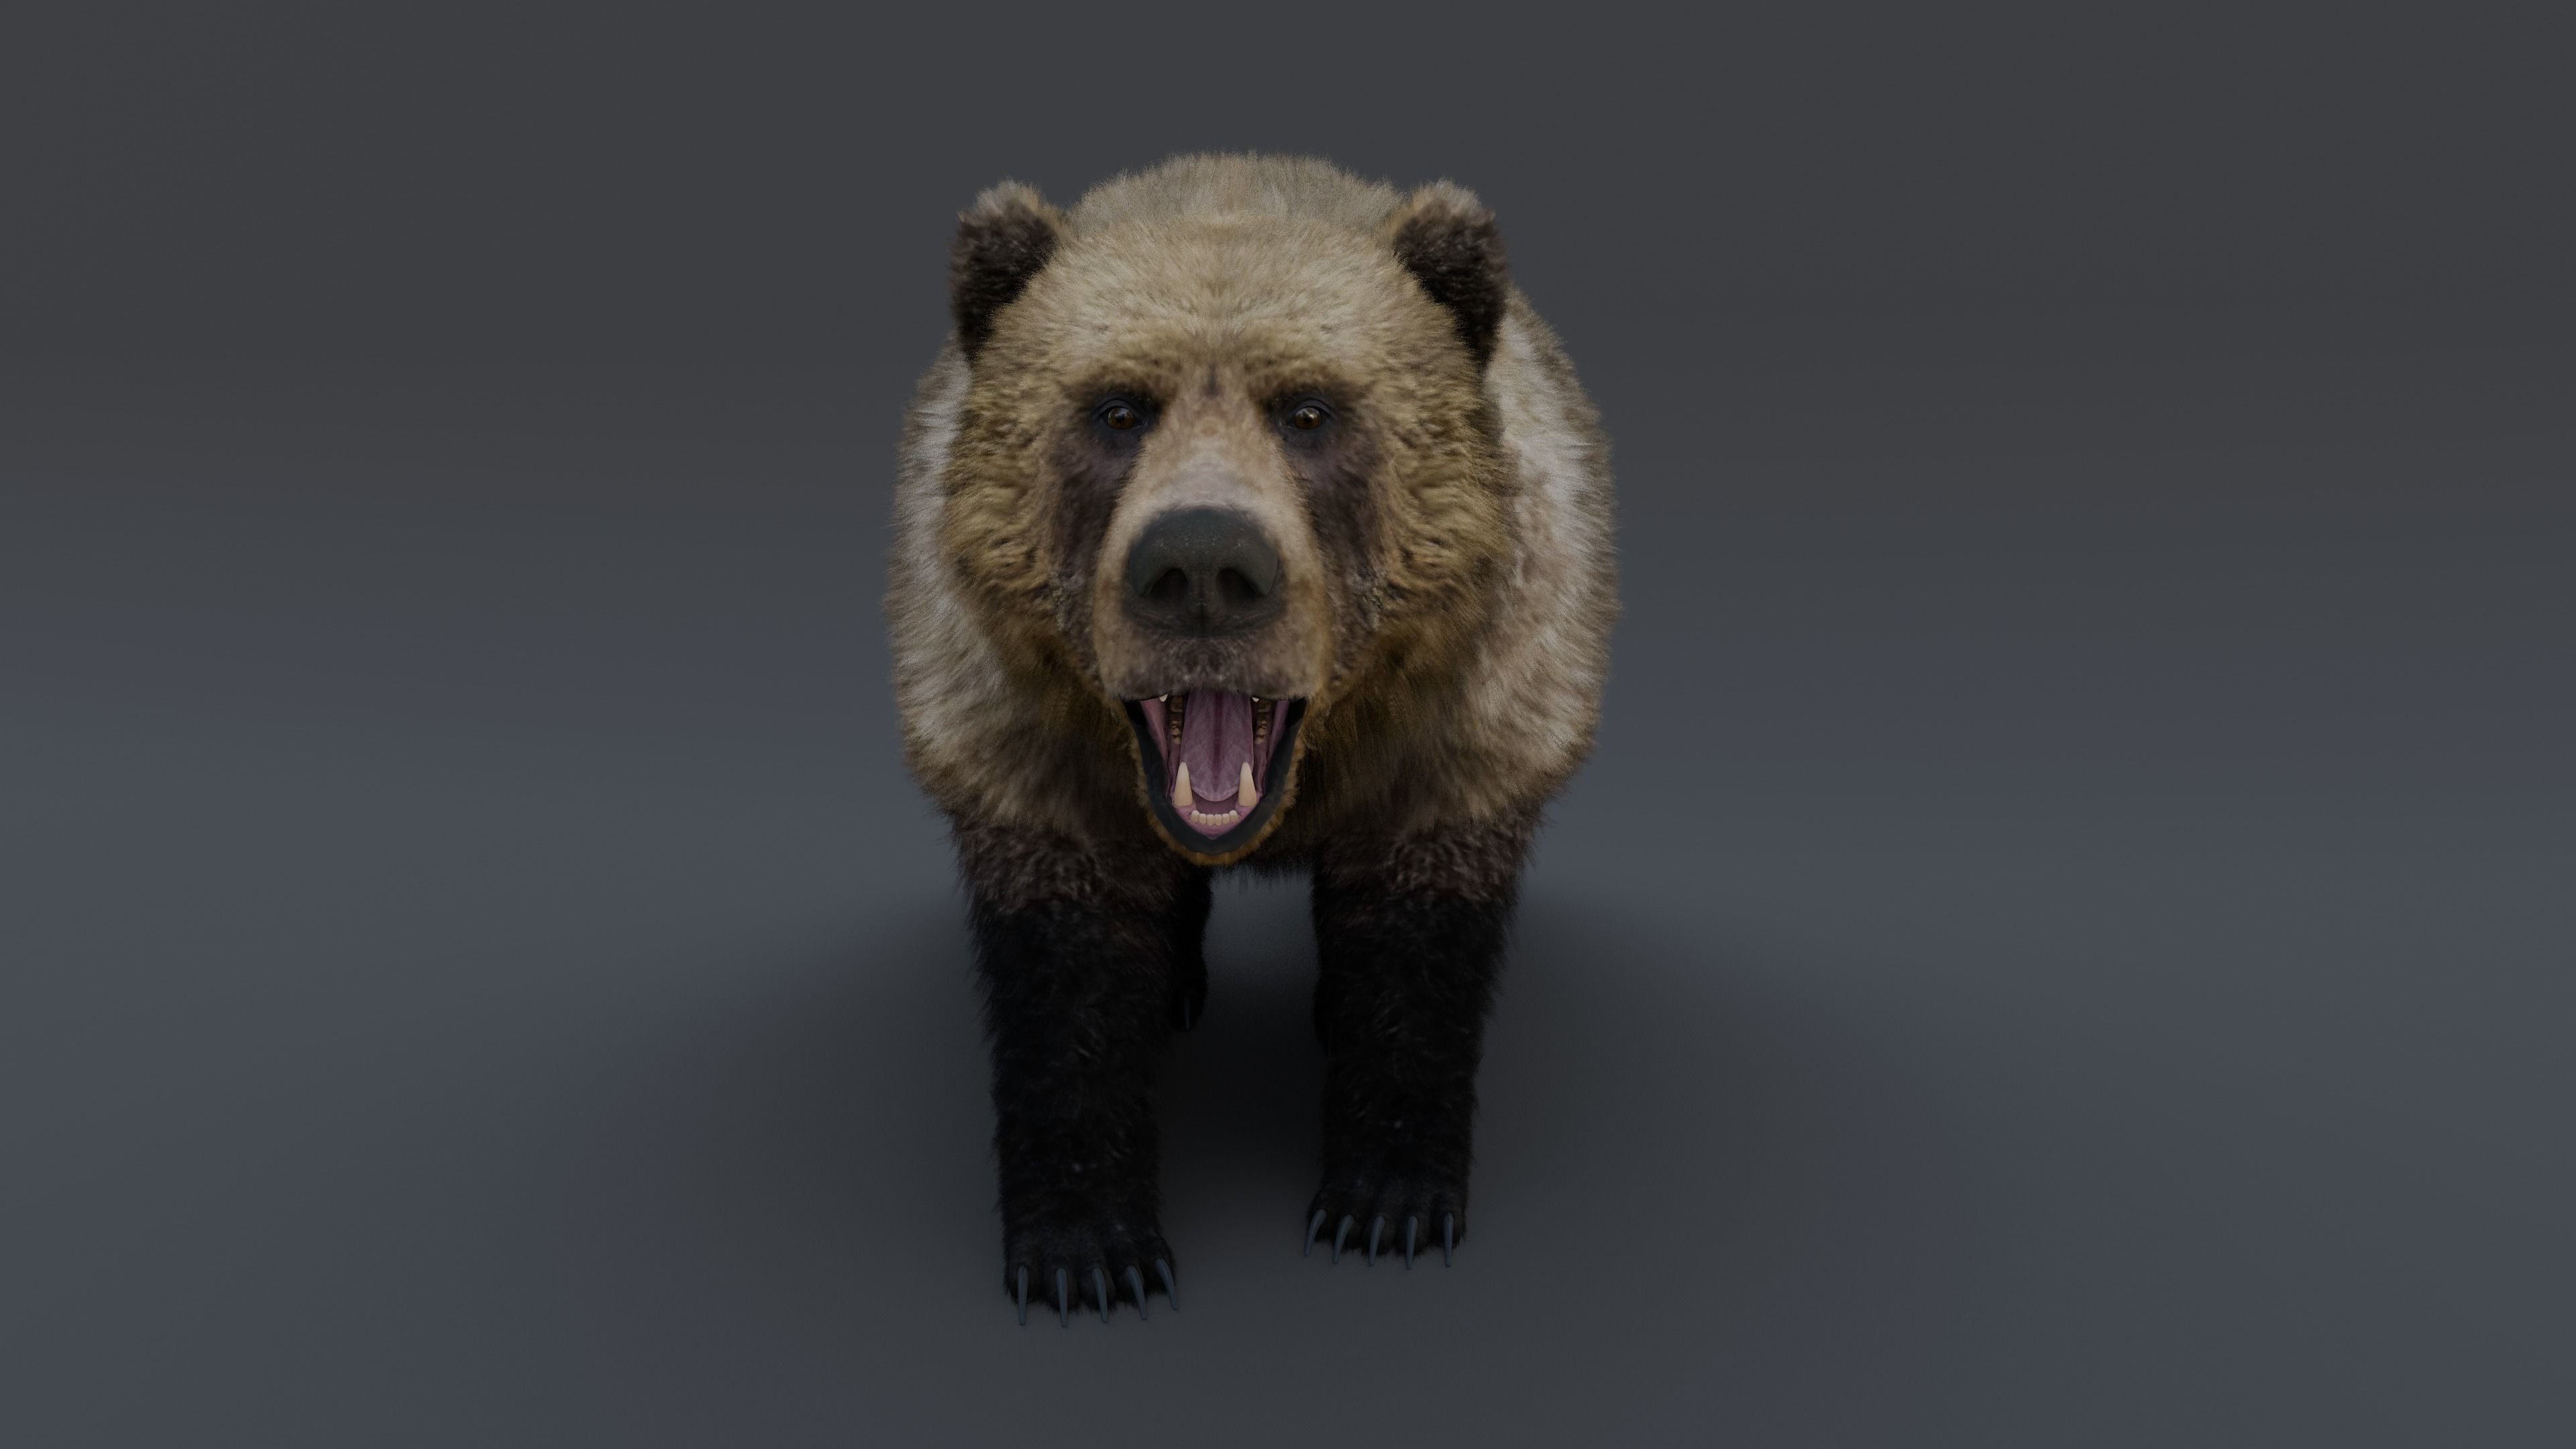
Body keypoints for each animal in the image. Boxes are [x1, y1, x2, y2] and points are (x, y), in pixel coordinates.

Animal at [888, 154, 1615, 1324]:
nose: (1200, 563)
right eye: (1118, 409)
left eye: (1309, 412)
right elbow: (1062, 976)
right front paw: (1088, 1251)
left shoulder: (1472, 717)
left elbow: (1418, 954)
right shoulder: (1012, 730)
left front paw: (1384, 1199)